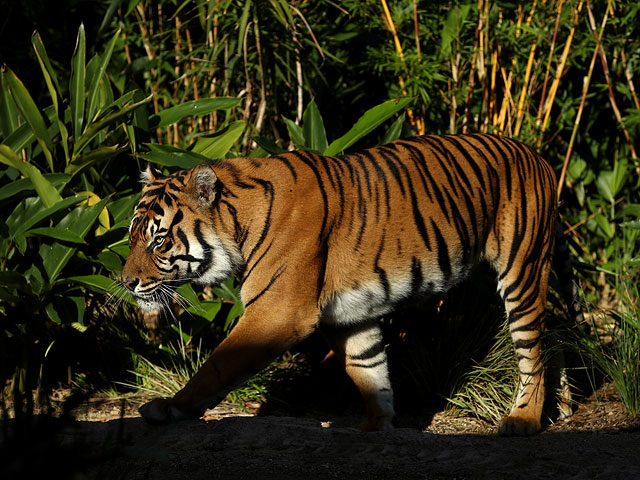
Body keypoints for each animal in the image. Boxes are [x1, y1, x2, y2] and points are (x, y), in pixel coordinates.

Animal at [121, 133, 584, 436]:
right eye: (131, 237)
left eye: (158, 240)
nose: (125, 283)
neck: (238, 221)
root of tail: (540, 157)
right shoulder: (349, 315)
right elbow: (368, 370)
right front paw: (377, 427)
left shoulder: (278, 311)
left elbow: (217, 364)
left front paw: (169, 408)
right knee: (554, 334)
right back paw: (561, 407)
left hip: (521, 268)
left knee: (532, 348)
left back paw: (523, 420)